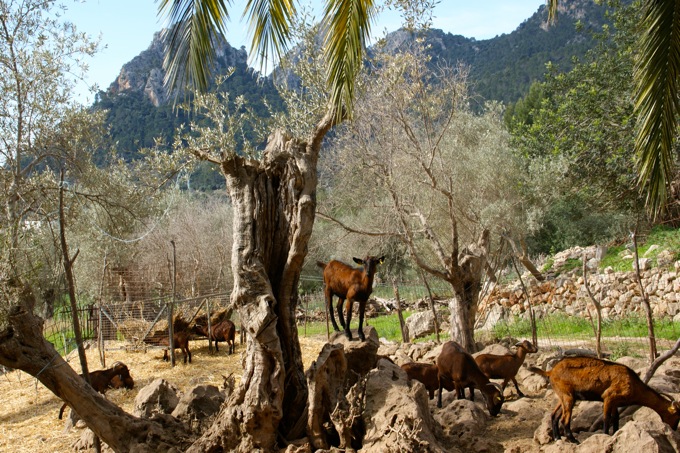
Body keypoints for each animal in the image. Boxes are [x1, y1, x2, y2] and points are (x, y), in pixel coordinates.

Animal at [532, 356, 680, 442]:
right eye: (676, 416)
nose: (674, 429)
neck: (633, 383)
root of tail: (550, 371)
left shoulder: (615, 403)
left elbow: (615, 418)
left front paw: (615, 433)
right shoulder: (608, 397)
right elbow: (606, 418)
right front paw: (605, 435)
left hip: (563, 396)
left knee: (554, 415)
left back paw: (557, 437)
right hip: (568, 397)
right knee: (564, 419)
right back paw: (573, 440)